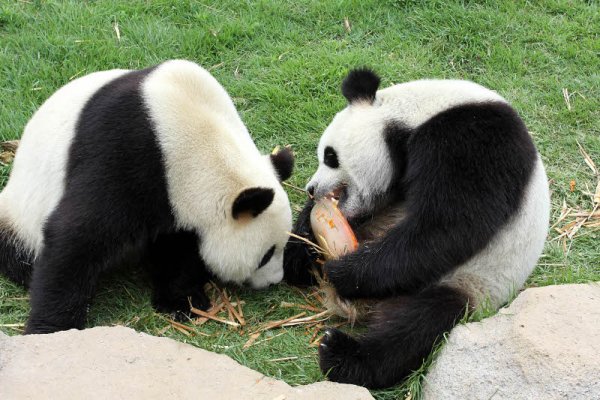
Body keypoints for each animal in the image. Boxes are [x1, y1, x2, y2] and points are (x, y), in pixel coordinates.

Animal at [0, 59, 294, 334]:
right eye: (267, 254)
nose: (274, 280)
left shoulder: (176, 201)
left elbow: (177, 250)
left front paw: (182, 301)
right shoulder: (125, 154)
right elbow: (77, 236)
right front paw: (51, 328)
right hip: (20, 210)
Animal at [284, 68, 552, 388]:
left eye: (330, 156)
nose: (311, 189)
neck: (412, 117)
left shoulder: (471, 140)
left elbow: (447, 227)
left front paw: (346, 271)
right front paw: (306, 235)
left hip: (470, 283)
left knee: (415, 325)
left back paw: (342, 355)